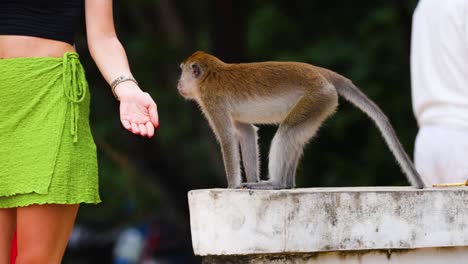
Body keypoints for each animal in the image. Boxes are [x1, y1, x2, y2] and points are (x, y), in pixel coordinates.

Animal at [177, 50, 426, 189]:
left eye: (183, 71)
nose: (178, 83)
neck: (211, 74)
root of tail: (321, 73)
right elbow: (246, 132)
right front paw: (251, 180)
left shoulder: (211, 99)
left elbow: (228, 138)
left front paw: (231, 185)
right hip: (321, 104)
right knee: (294, 136)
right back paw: (287, 185)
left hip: (317, 98)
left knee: (286, 132)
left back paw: (277, 184)